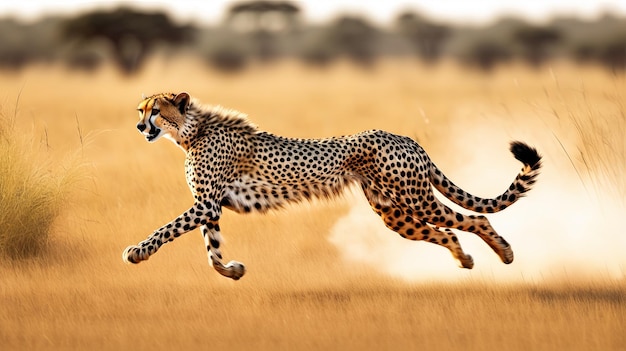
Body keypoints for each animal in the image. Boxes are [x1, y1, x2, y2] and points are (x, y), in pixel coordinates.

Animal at [123, 93, 540, 280]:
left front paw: (137, 252)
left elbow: (167, 229)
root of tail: (403, 136)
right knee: (447, 232)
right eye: (140, 110)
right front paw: (233, 271)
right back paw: (464, 260)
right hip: (394, 214)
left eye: (155, 110)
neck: (191, 132)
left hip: (415, 199)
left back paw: (505, 253)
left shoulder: (207, 204)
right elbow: (211, 250)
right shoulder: (211, 206)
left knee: (473, 219)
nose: (140, 127)